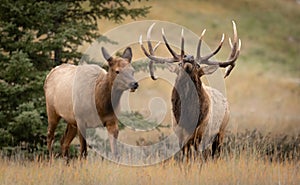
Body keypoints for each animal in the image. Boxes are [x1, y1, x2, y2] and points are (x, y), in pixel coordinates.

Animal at [140, 21, 241, 158]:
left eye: (198, 65)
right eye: (179, 63)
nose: (189, 57)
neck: (188, 117)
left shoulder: (201, 132)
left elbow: (196, 156)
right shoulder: (180, 133)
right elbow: (185, 156)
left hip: (221, 131)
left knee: (215, 153)